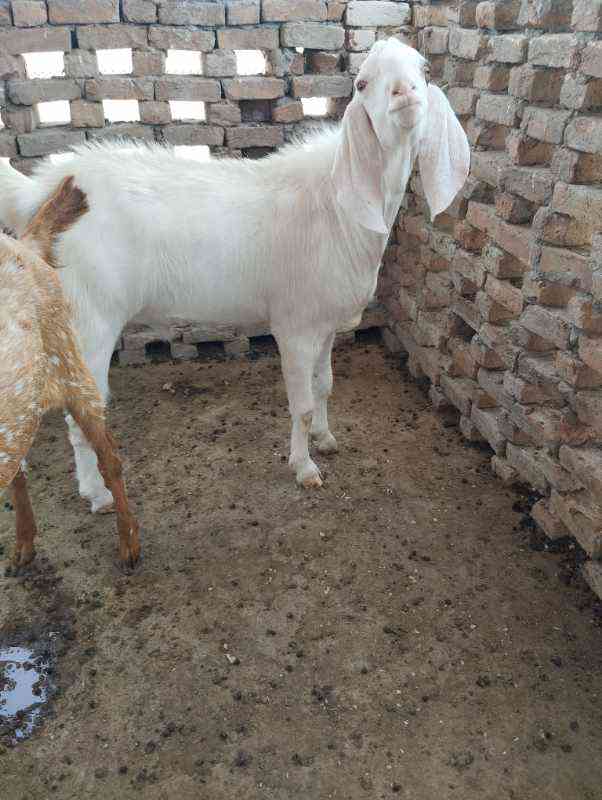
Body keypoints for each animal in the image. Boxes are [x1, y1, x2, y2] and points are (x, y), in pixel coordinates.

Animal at [0, 39, 470, 511]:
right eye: (362, 83)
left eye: (424, 70)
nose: (405, 94)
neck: (337, 204)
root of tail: (38, 192)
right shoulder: (295, 325)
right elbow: (301, 404)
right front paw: (304, 467)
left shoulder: (325, 323)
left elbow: (324, 386)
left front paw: (325, 437)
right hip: (88, 319)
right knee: (80, 413)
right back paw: (98, 494)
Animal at [0, 176, 140, 573]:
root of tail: (27, 244)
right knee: (21, 469)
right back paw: (24, 545)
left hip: (72, 368)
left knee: (110, 458)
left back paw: (128, 545)